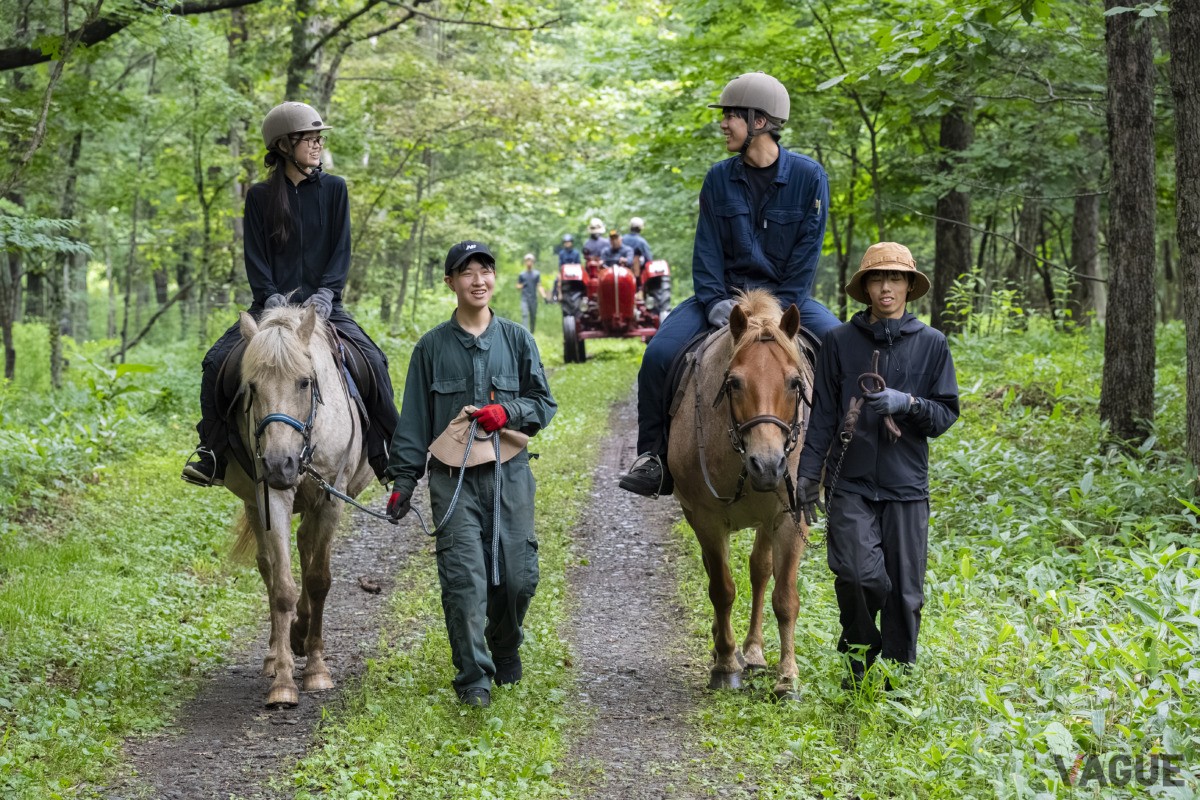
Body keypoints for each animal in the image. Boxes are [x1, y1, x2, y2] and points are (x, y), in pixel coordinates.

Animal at [225, 305, 374, 708]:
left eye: (305, 382)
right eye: (252, 387)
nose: (280, 463)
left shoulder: (331, 496)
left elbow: (319, 579)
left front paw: (317, 670)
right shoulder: (271, 495)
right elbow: (282, 586)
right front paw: (283, 682)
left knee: (307, 546)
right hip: (255, 502)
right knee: (268, 564)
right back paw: (276, 654)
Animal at [667, 289, 813, 699]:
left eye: (794, 383)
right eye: (733, 383)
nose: (768, 465)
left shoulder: (790, 518)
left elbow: (785, 597)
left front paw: (787, 678)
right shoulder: (706, 518)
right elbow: (722, 589)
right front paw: (725, 664)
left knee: (760, 570)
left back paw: (755, 651)